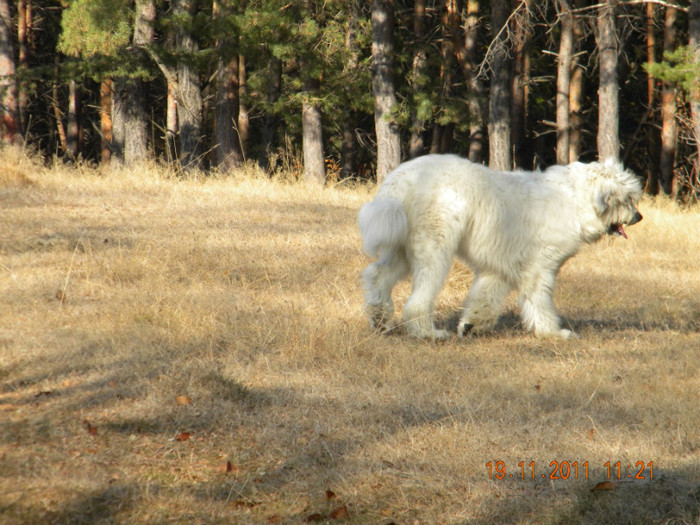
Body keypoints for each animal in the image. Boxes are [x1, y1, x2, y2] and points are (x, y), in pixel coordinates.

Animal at [358, 154, 644, 338]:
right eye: (627, 199)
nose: (639, 217)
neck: (576, 201)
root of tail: (402, 176)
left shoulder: (499, 269)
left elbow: (484, 300)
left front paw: (471, 327)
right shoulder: (540, 269)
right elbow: (540, 302)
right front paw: (553, 332)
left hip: (403, 248)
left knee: (377, 275)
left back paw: (380, 319)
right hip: (433, 250)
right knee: (417, 300)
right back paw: (427, 333)